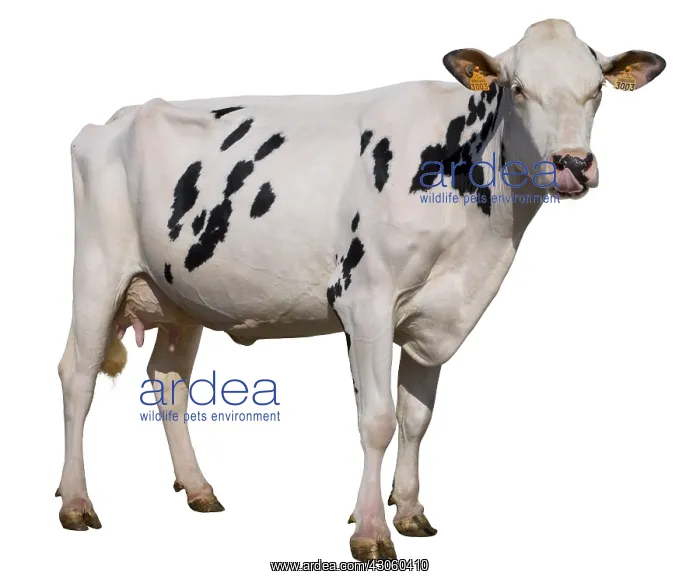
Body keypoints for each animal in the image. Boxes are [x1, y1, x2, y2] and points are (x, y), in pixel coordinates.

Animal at [56, 18, 665, 561]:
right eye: (517, 88)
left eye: (596, 90)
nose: (573, 164)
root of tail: (114, 119)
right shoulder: (366, 300)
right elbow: (376, 419)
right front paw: (371, 531)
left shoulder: (433, 315)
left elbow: (415, 418)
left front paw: (412, 512)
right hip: (97, 271)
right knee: (77, 376)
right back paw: (76, 503)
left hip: (180, 294)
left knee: (170, 381)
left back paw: (200, 489)